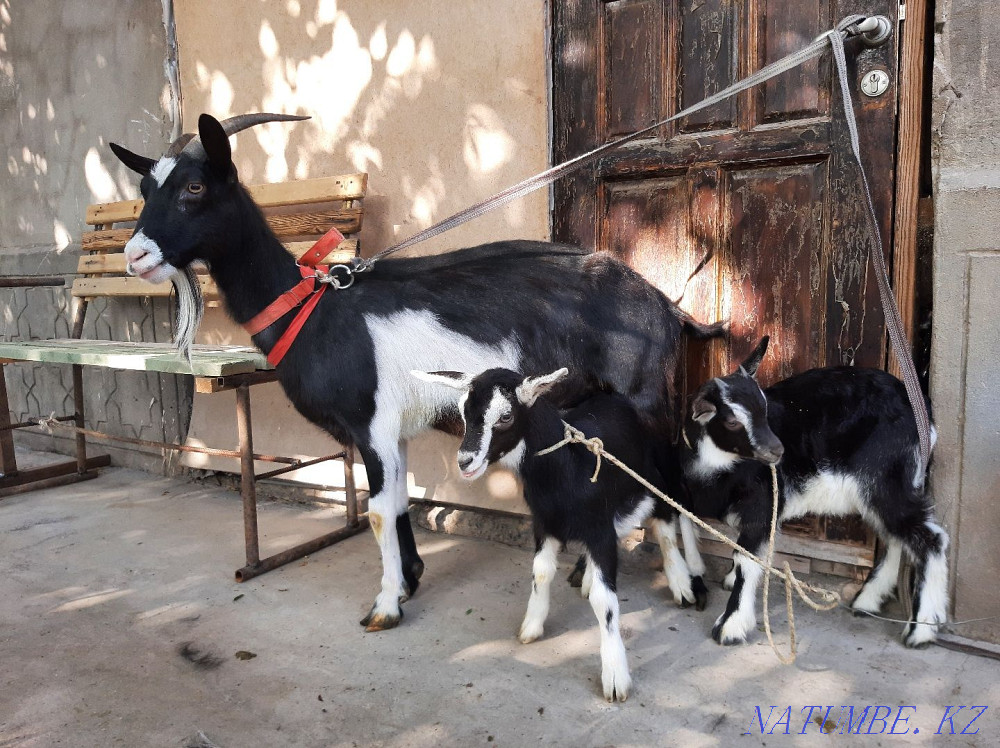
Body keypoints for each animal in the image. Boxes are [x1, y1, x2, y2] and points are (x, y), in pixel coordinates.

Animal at [109, 112, 723, 632]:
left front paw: (384, 606)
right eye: (144, 189)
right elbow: (401, 502)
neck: (313, 311)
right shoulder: (391, 431)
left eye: (194, 187)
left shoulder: (373, 425)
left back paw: (689, 584)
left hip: (647, 396)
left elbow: (379, 512)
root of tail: (668, 307)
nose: (136, 256)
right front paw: (409, 580)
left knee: (670, 479)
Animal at [413, 366, 705, 701]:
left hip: (655, 470)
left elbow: (605, 601)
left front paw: (615, 675)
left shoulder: (599, 530)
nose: (464, 461)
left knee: (671, 513)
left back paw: (682, 580)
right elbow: (540, 572)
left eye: (506, 416)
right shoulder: (544, 524)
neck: (569, 467)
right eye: (463, 412)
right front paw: (531, 626)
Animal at [679, 336, 948, 648]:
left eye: (765, 409)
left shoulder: (763, 503)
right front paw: (731, 583)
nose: (777, 451)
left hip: (886, 479)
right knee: (895, 537)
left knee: (930, 539)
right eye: (732, 420)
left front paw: (730, 626)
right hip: (882, 488)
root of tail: (922, 410)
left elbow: (747, 559)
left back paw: (921, 629)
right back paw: (868, 601)